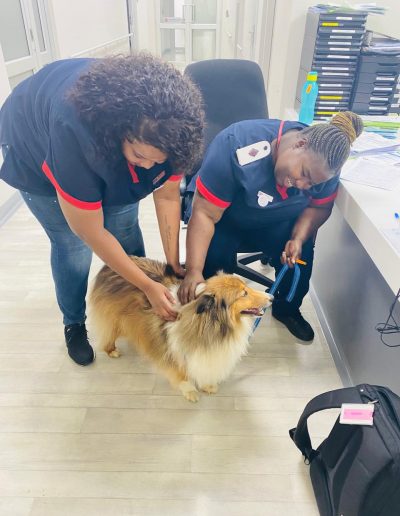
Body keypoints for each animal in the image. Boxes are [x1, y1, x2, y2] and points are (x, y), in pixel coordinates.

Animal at [90, 258, 272, 404]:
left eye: (246, 287)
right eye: (244, 294)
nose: (272, 297)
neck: (210, 325)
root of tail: (106, 267)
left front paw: (207, 385)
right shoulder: (174, 350)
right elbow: (182, 374)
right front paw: (191, 392)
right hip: (113, 319)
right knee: (108, 334)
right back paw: (112, 350)